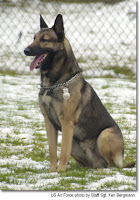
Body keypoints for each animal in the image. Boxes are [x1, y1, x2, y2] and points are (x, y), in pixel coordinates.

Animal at [24, 14, 135, 172]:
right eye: (34, 38)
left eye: (44, 39)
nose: (25, 50)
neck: (54, 83)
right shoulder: (49, 122)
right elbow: (53, 151)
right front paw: (52, 172)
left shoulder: (67, 123)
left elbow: (63, 152)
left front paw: (60, 172)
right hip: (76, 146)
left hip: (105, 135)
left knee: (112, 166)